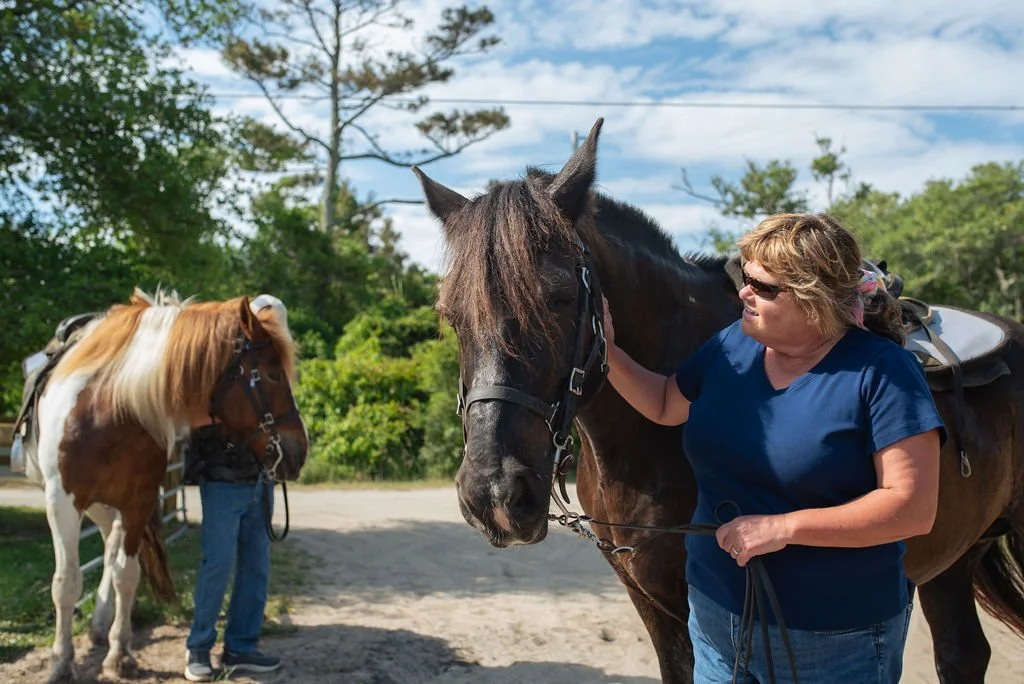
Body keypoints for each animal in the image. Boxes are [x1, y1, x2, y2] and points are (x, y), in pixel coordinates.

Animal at [15, 288, 308, 684]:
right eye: (273, 374)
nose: (299, 450)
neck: (109, 407)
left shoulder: (138, 501)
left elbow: (126, 573)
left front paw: (120, 654)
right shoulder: (63, 502)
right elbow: (66, 583)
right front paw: (61, 663)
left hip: (110, 505)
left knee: (111, 547)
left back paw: (103, 625)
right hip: (93, 504)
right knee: (104, 548)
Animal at [413, 118, 1024, 683]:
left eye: (560, 299)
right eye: (451, 315)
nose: (494, 495)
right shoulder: (652, 600)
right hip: (953, 559)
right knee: (963, 654)